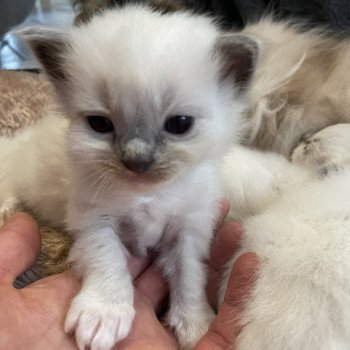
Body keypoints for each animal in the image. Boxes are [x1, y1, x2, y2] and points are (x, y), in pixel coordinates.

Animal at [14, 5, 260, 350]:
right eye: (100, 124)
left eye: (180, 124)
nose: (137, 161)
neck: (147, 195)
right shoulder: (93, 222)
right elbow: (109, 259)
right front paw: (103, 313)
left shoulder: (188, 230)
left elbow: (189, 276)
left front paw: (195, 324)